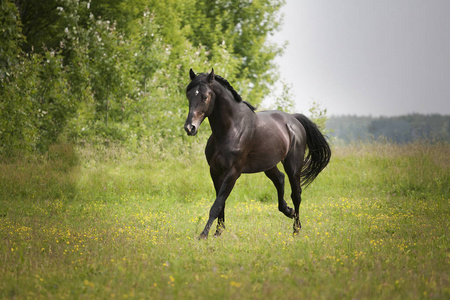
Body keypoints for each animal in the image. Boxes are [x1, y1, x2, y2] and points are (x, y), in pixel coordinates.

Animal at [183, 68, 330, 239]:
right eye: (189, 95)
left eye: (205, 96)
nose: (190, 128)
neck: (230, 130)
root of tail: (294, 120)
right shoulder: (215, 171)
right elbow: (221, 203)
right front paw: (218, 232)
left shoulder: (233, 172)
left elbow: (217, 204)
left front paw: (204, 235)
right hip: (268, 164)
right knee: (280, 179)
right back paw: (288, 211)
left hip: (293, 165)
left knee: (296, 194)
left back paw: (296, 229)